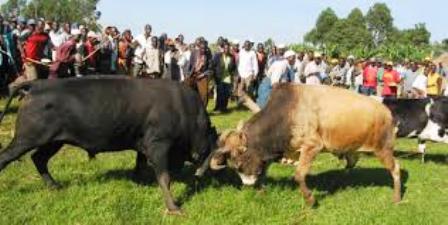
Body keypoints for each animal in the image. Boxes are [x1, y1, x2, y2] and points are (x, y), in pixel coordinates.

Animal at [0, 76, 218, 214]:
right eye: (210, 142)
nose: (202, 173)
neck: (184, 110)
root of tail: (36, 85)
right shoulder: (159, 145)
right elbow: (165, 178)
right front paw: (173, 208)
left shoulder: (143, 144)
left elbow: (140, 164)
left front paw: (138, 181)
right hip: (27, 139)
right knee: (7, 157)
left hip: (54, 141)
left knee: (38, 158)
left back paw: (54, 186)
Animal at [210, 84, 402, 206]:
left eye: (239, 160)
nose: (247, 185)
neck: (285, 115)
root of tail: (387, 112)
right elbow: (264, 173)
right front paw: (261, 191)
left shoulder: (311, 146)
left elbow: (299, 175)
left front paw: (310, 200)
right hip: (353, 150)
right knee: (351, 164)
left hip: (383, 149)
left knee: (396, 169)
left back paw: (397, 198)